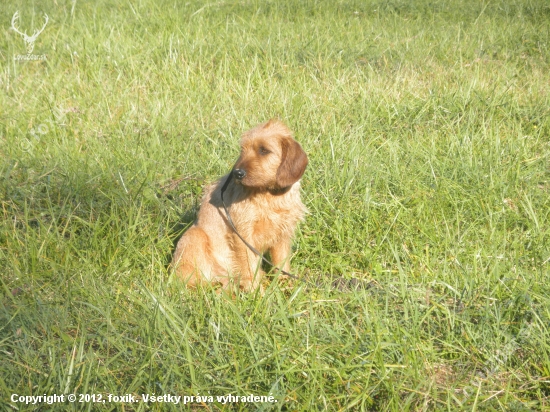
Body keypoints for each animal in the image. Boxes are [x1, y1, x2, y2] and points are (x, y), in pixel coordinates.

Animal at [172, 119, 308, 292]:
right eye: (243, 150)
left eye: (264, 150)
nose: (237, 173)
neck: (268, 194)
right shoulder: (243, 234)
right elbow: (249, 266)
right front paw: (256, 292)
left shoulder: (283, 233)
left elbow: (281, 262)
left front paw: (286, 285)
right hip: (195, 236)